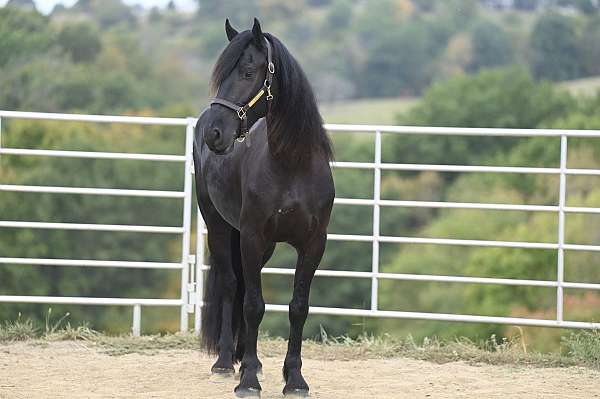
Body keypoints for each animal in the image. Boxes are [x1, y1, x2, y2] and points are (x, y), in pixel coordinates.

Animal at [196, 18, 336, 396]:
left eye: (247, 72)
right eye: (221, 75)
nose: (215, 133)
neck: (292, 166)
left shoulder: (313, 244)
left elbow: (298, 307)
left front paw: (295, 379)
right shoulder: (251, 236)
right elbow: (253, 305)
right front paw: (247, 381)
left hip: (265, 245)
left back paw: (251, 361)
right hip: (218, 226)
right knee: (232, 286)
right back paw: (227, 362)